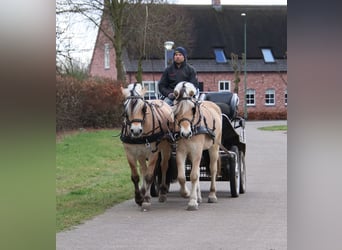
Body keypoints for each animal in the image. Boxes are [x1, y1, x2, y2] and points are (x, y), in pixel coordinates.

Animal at [172, 82, 223, 211]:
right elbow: (182, 177)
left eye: (193, 109)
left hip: (214, 147)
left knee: (213, 169)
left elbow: (194, 175)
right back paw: (199, 197)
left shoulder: (196, 152)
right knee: (199, 170)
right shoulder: (181, 152)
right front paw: (186, 193)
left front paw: (192, 202)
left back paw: (212, 195)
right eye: (176, 109)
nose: (185, 133)